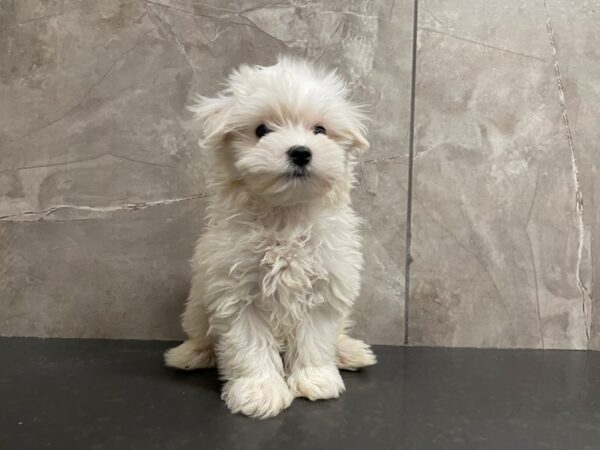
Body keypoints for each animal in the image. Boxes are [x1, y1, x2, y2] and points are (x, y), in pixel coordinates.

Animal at [165, 56, 376, 418]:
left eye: (320, 130)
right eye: (262, 130)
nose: (301, 152)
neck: (285, 215)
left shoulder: (325, 286)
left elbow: (316, 338)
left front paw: (315, 380)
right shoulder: (236, 292)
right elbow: (249, 345)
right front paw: (259, 391)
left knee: (337, 334)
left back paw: (349, 351)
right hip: (197, 306)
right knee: (200, 334)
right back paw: (190, 354)